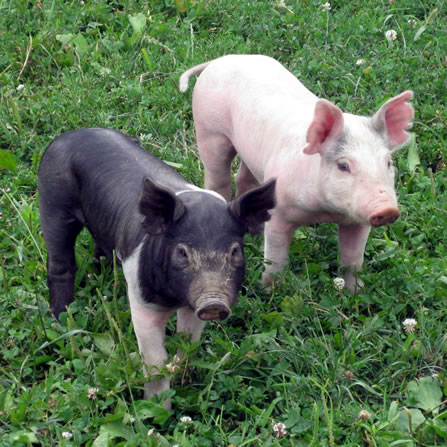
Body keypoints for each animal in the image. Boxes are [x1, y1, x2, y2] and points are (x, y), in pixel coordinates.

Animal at [39, 128, 276, 408]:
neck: (175, 299)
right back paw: (59, 322)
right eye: (182, 252)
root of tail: (70, 134)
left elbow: (188, 343)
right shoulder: (141, 300)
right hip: (53, 200)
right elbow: (155, 360)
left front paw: (182, 377)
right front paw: (156, 407)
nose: (214, 302)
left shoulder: (192, 307)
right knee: (60, 263)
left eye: (235, 251)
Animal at [179, 55, 416, 294]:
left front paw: (354, 293)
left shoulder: (357, 222)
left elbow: (352, 260)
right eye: (343, 165)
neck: (325, 211)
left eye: (388, 162)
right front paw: (271, 292)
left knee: (244, 178)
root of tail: (220, 60)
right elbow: (275, 257)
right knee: (217, 176)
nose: (387, 209)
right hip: (209, 130)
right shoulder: (279, 212)